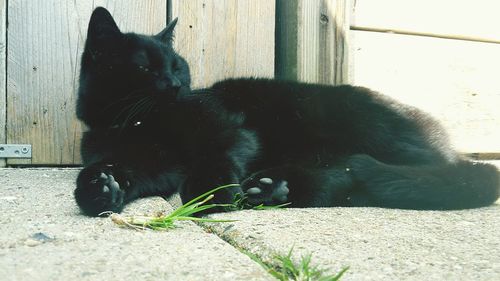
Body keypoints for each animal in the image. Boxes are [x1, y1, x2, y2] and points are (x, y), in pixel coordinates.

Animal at [72, 7, 498, 215]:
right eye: (145, 67)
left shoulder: (232, 131)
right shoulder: (149, 162)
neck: (141, 124)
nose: (176, 84)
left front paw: (211, 195)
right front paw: (99, 187)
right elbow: (122, 170)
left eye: (178, 66)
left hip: (357, 127)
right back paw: (273, 189)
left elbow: (215, 157)